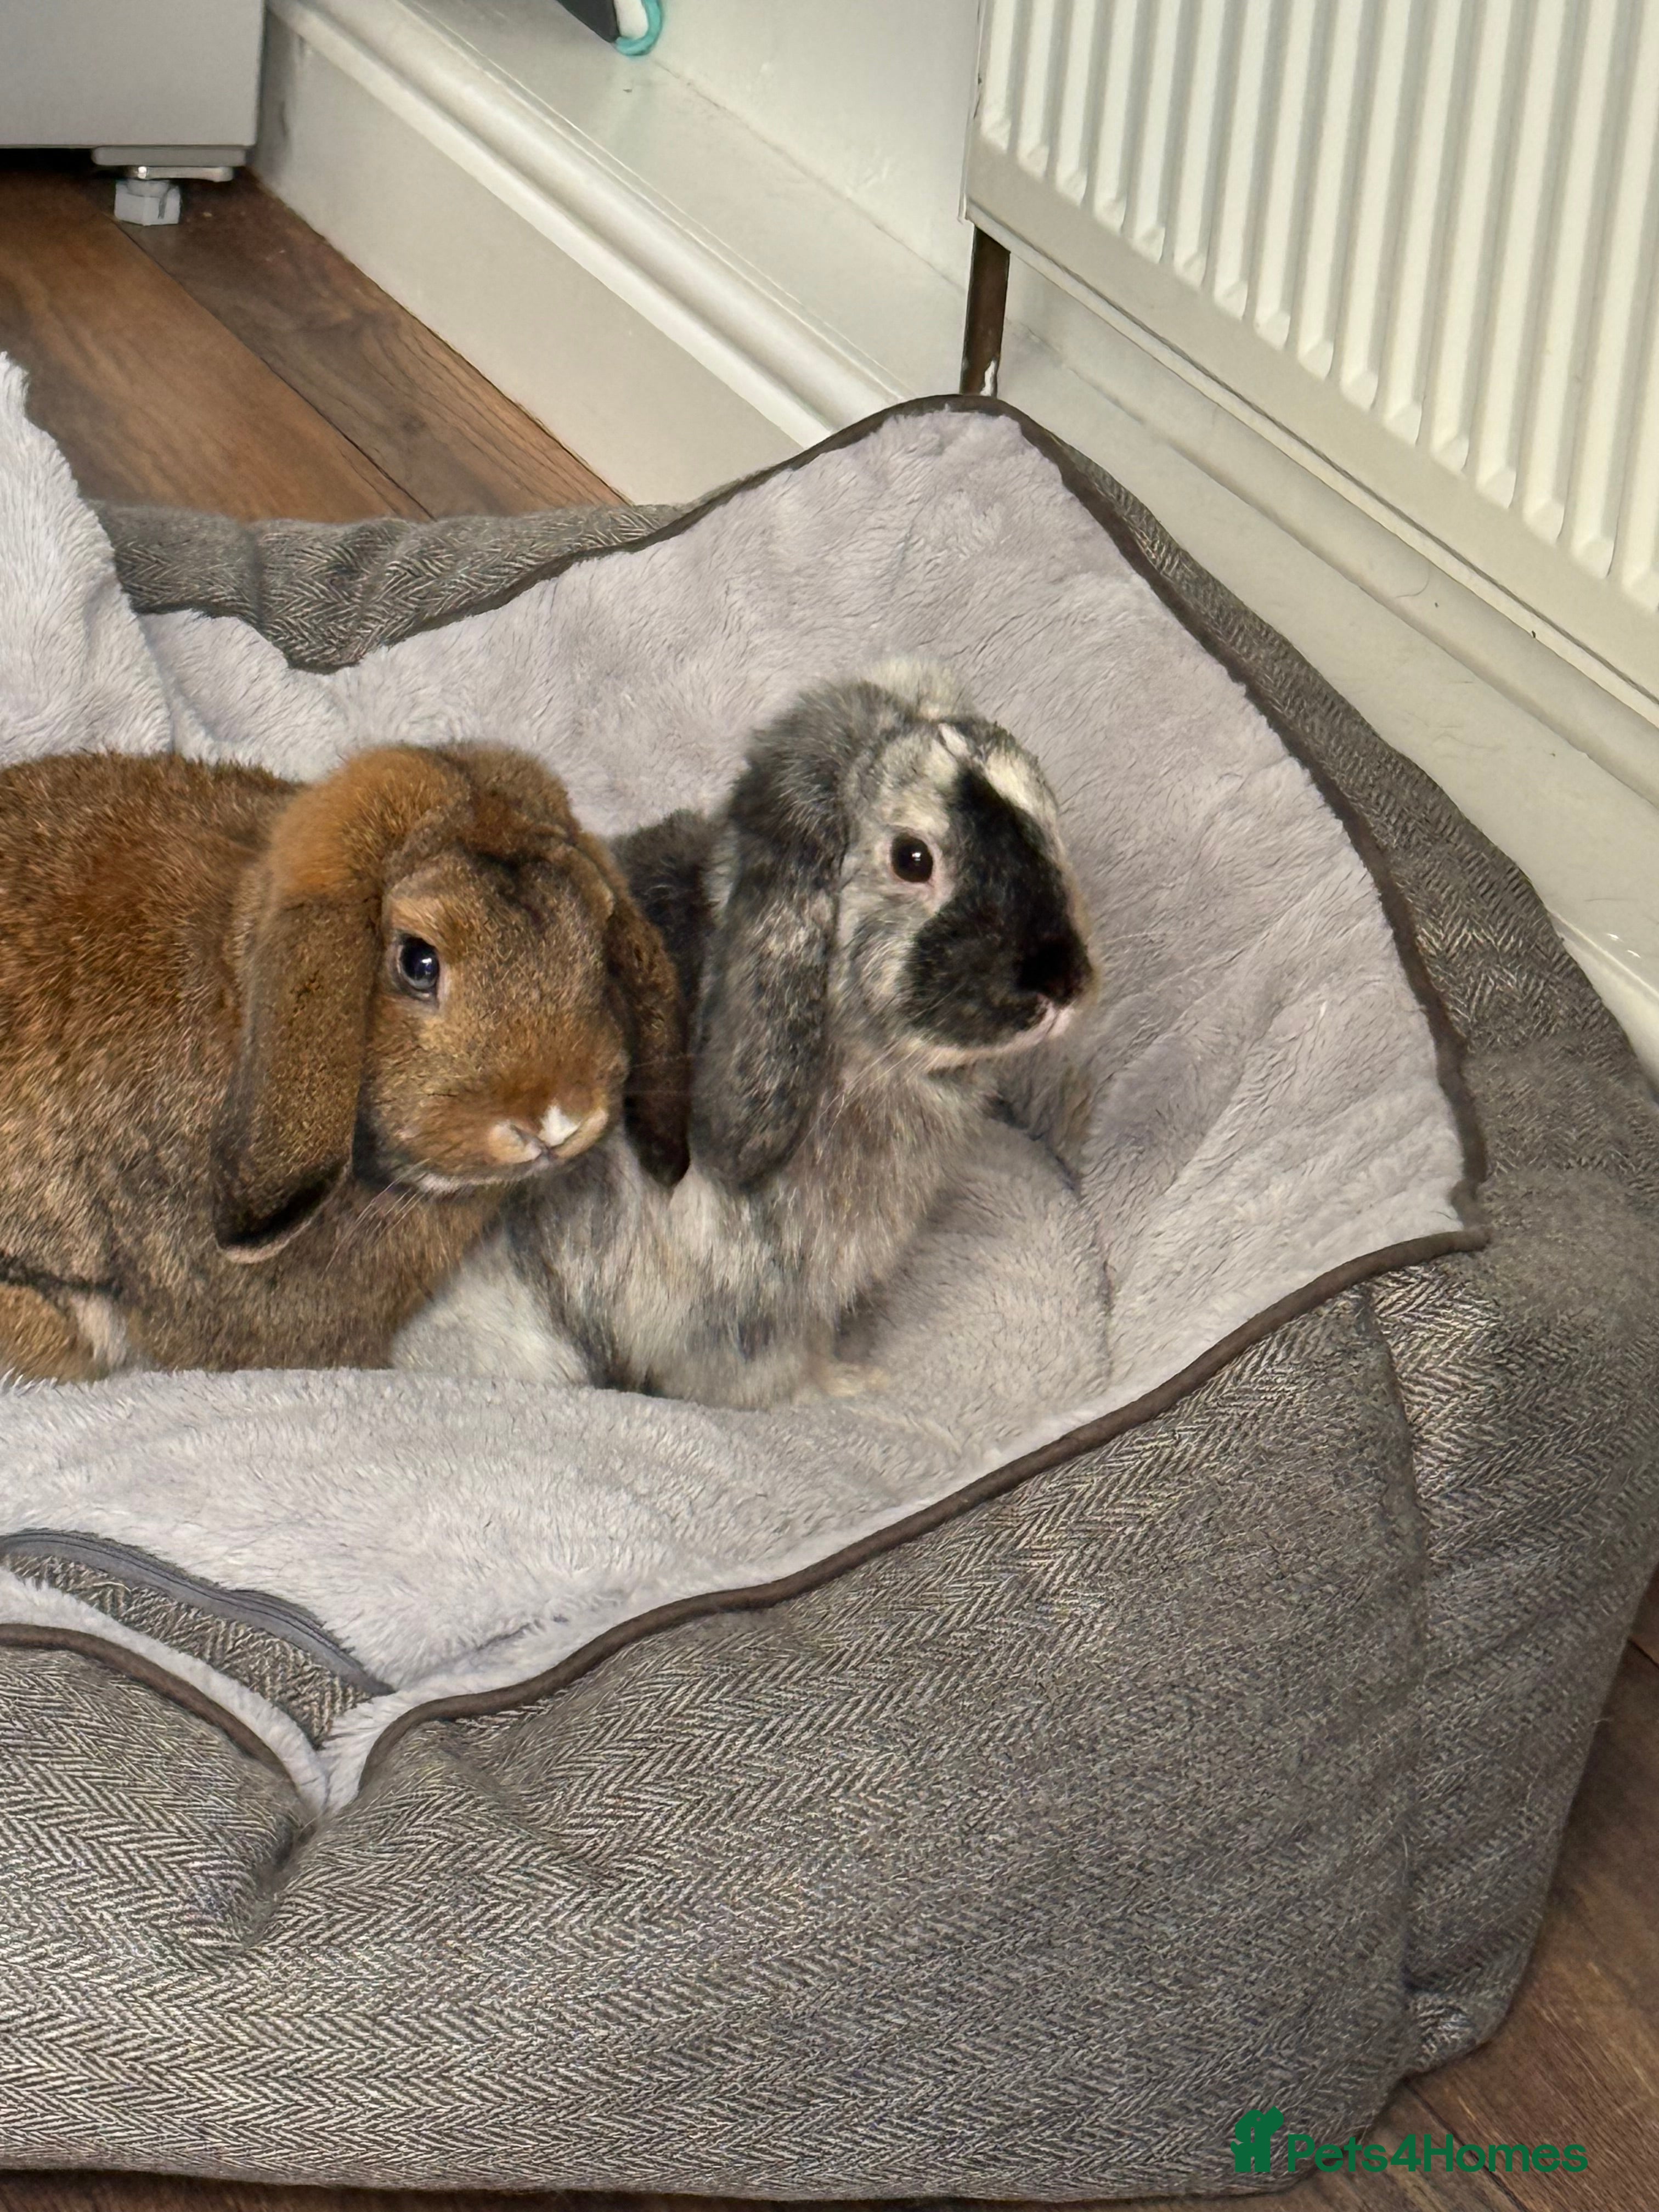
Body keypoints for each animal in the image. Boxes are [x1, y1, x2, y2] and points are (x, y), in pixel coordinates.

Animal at [396, 664, 1095, 1408]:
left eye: (1043, 806)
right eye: (912, 858)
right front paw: (848, 1389)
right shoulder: (746, 1311)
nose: (1062, 982)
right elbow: (774, 1370)